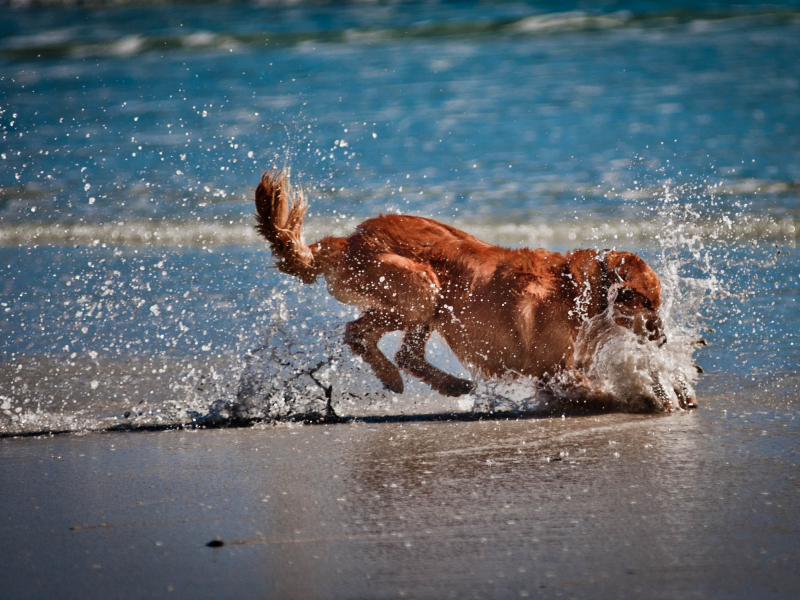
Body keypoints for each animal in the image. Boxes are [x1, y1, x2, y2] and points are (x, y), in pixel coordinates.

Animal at [255, 169, 692, 412]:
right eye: (651, 303)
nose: (663, 337)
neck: (580, 291)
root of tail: (349, 241)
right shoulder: (552, 370)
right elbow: (594, 389)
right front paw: (641, 398)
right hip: (424, 287)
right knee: (358, 333)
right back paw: (395, 378)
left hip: (431, 302)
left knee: (405, 353)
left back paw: (449, 384)